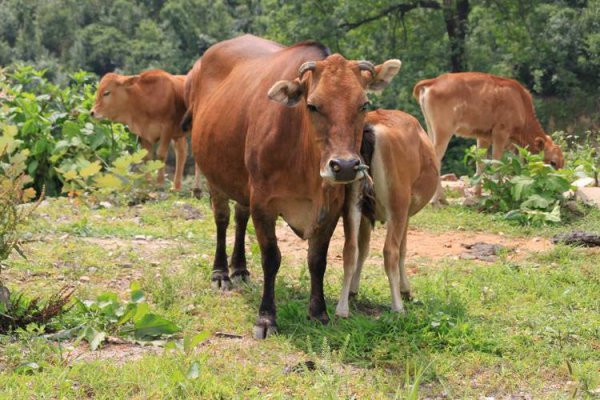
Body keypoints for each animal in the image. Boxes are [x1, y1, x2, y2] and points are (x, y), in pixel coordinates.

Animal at [190, 36, 400, 340]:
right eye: (312, 105)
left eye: (363, 104)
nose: (345, 166)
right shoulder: (263, 203)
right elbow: (271, 258)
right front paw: (266, 317)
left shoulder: (331, 208)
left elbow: (317, 260)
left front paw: (319, 313)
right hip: (213, 176)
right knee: (222, 219)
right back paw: (221, 273)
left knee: (240, 217)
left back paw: (239, 269)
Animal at [336, 108, 438, 318]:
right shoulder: (405, 212)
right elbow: (403, 249)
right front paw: (405, 290)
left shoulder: (366, 214)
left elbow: (363, 248)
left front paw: (353, 290)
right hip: (397, 203)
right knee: (390, 251)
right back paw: (397, 306)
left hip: (353, 201)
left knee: (349, 249)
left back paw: (341, 308)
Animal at [412, 70, 564, 205]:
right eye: (553, 162)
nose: (559, 187)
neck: (520, 102)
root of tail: (435, 80)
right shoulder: (500, 133)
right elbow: (496, 163)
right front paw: (496, 193)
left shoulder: (483, 137)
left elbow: (481, 164)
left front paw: (477, 195)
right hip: (444, 132)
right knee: (436, 159)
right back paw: (438, 200)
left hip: (431, 130)